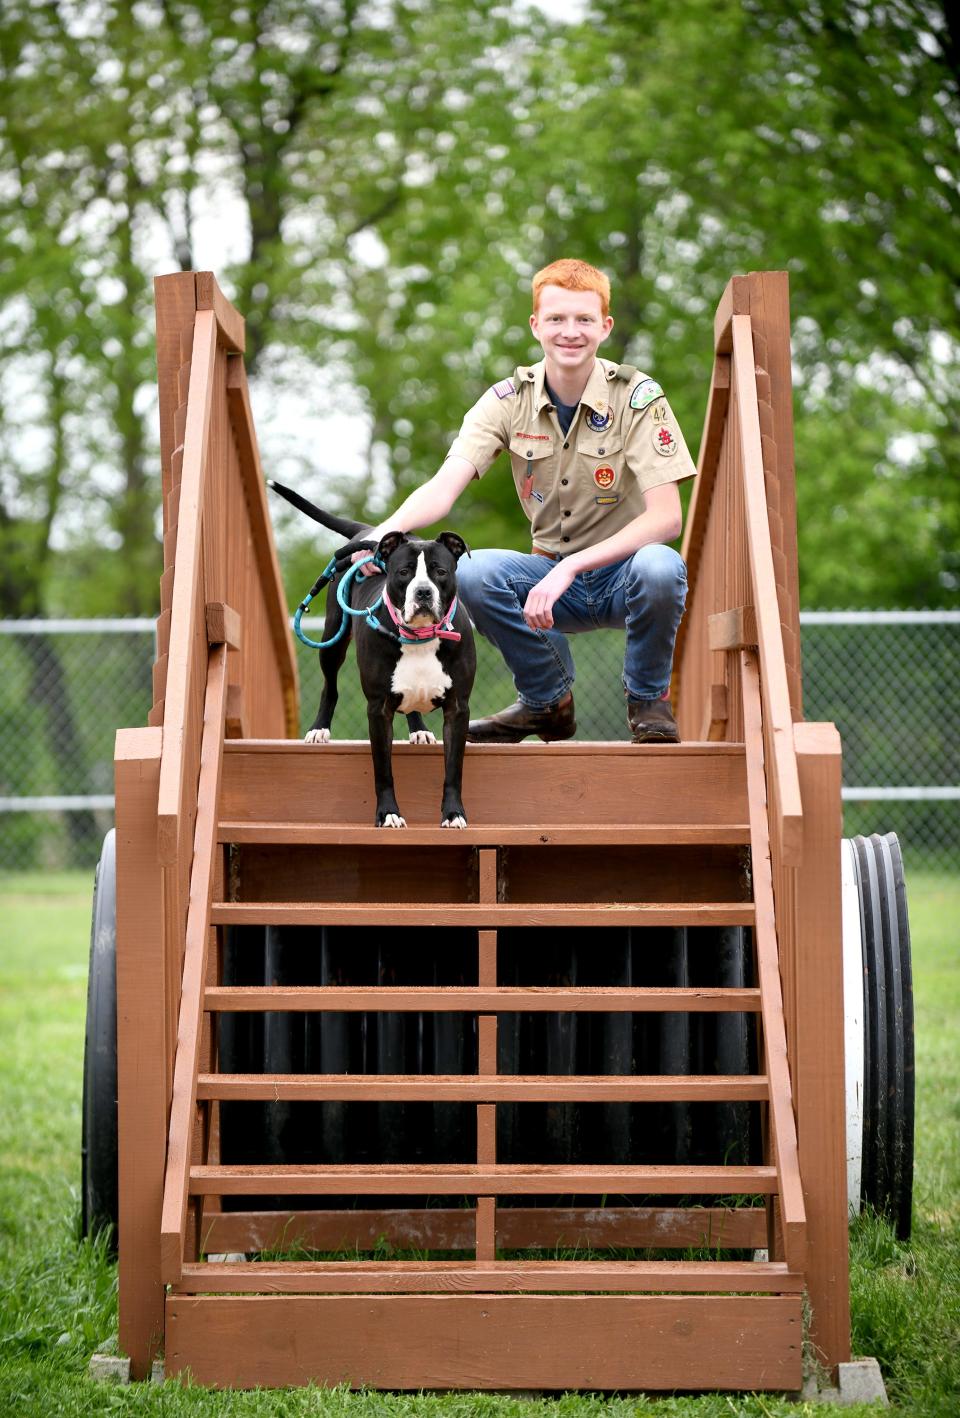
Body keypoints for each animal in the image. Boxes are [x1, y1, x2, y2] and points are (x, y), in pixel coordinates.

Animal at [265, 482, 476, 828]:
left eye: (440, 572)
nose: (423, 592)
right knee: (330, 686)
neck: (419, 637)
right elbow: (383, 770)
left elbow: (453, 770)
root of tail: (368, 534)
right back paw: (319, 729)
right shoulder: (378, 710)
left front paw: (453, 814)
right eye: (403, 572)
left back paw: (419, 731)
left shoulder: (458, 709)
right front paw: (389, 814)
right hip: (333, 638)